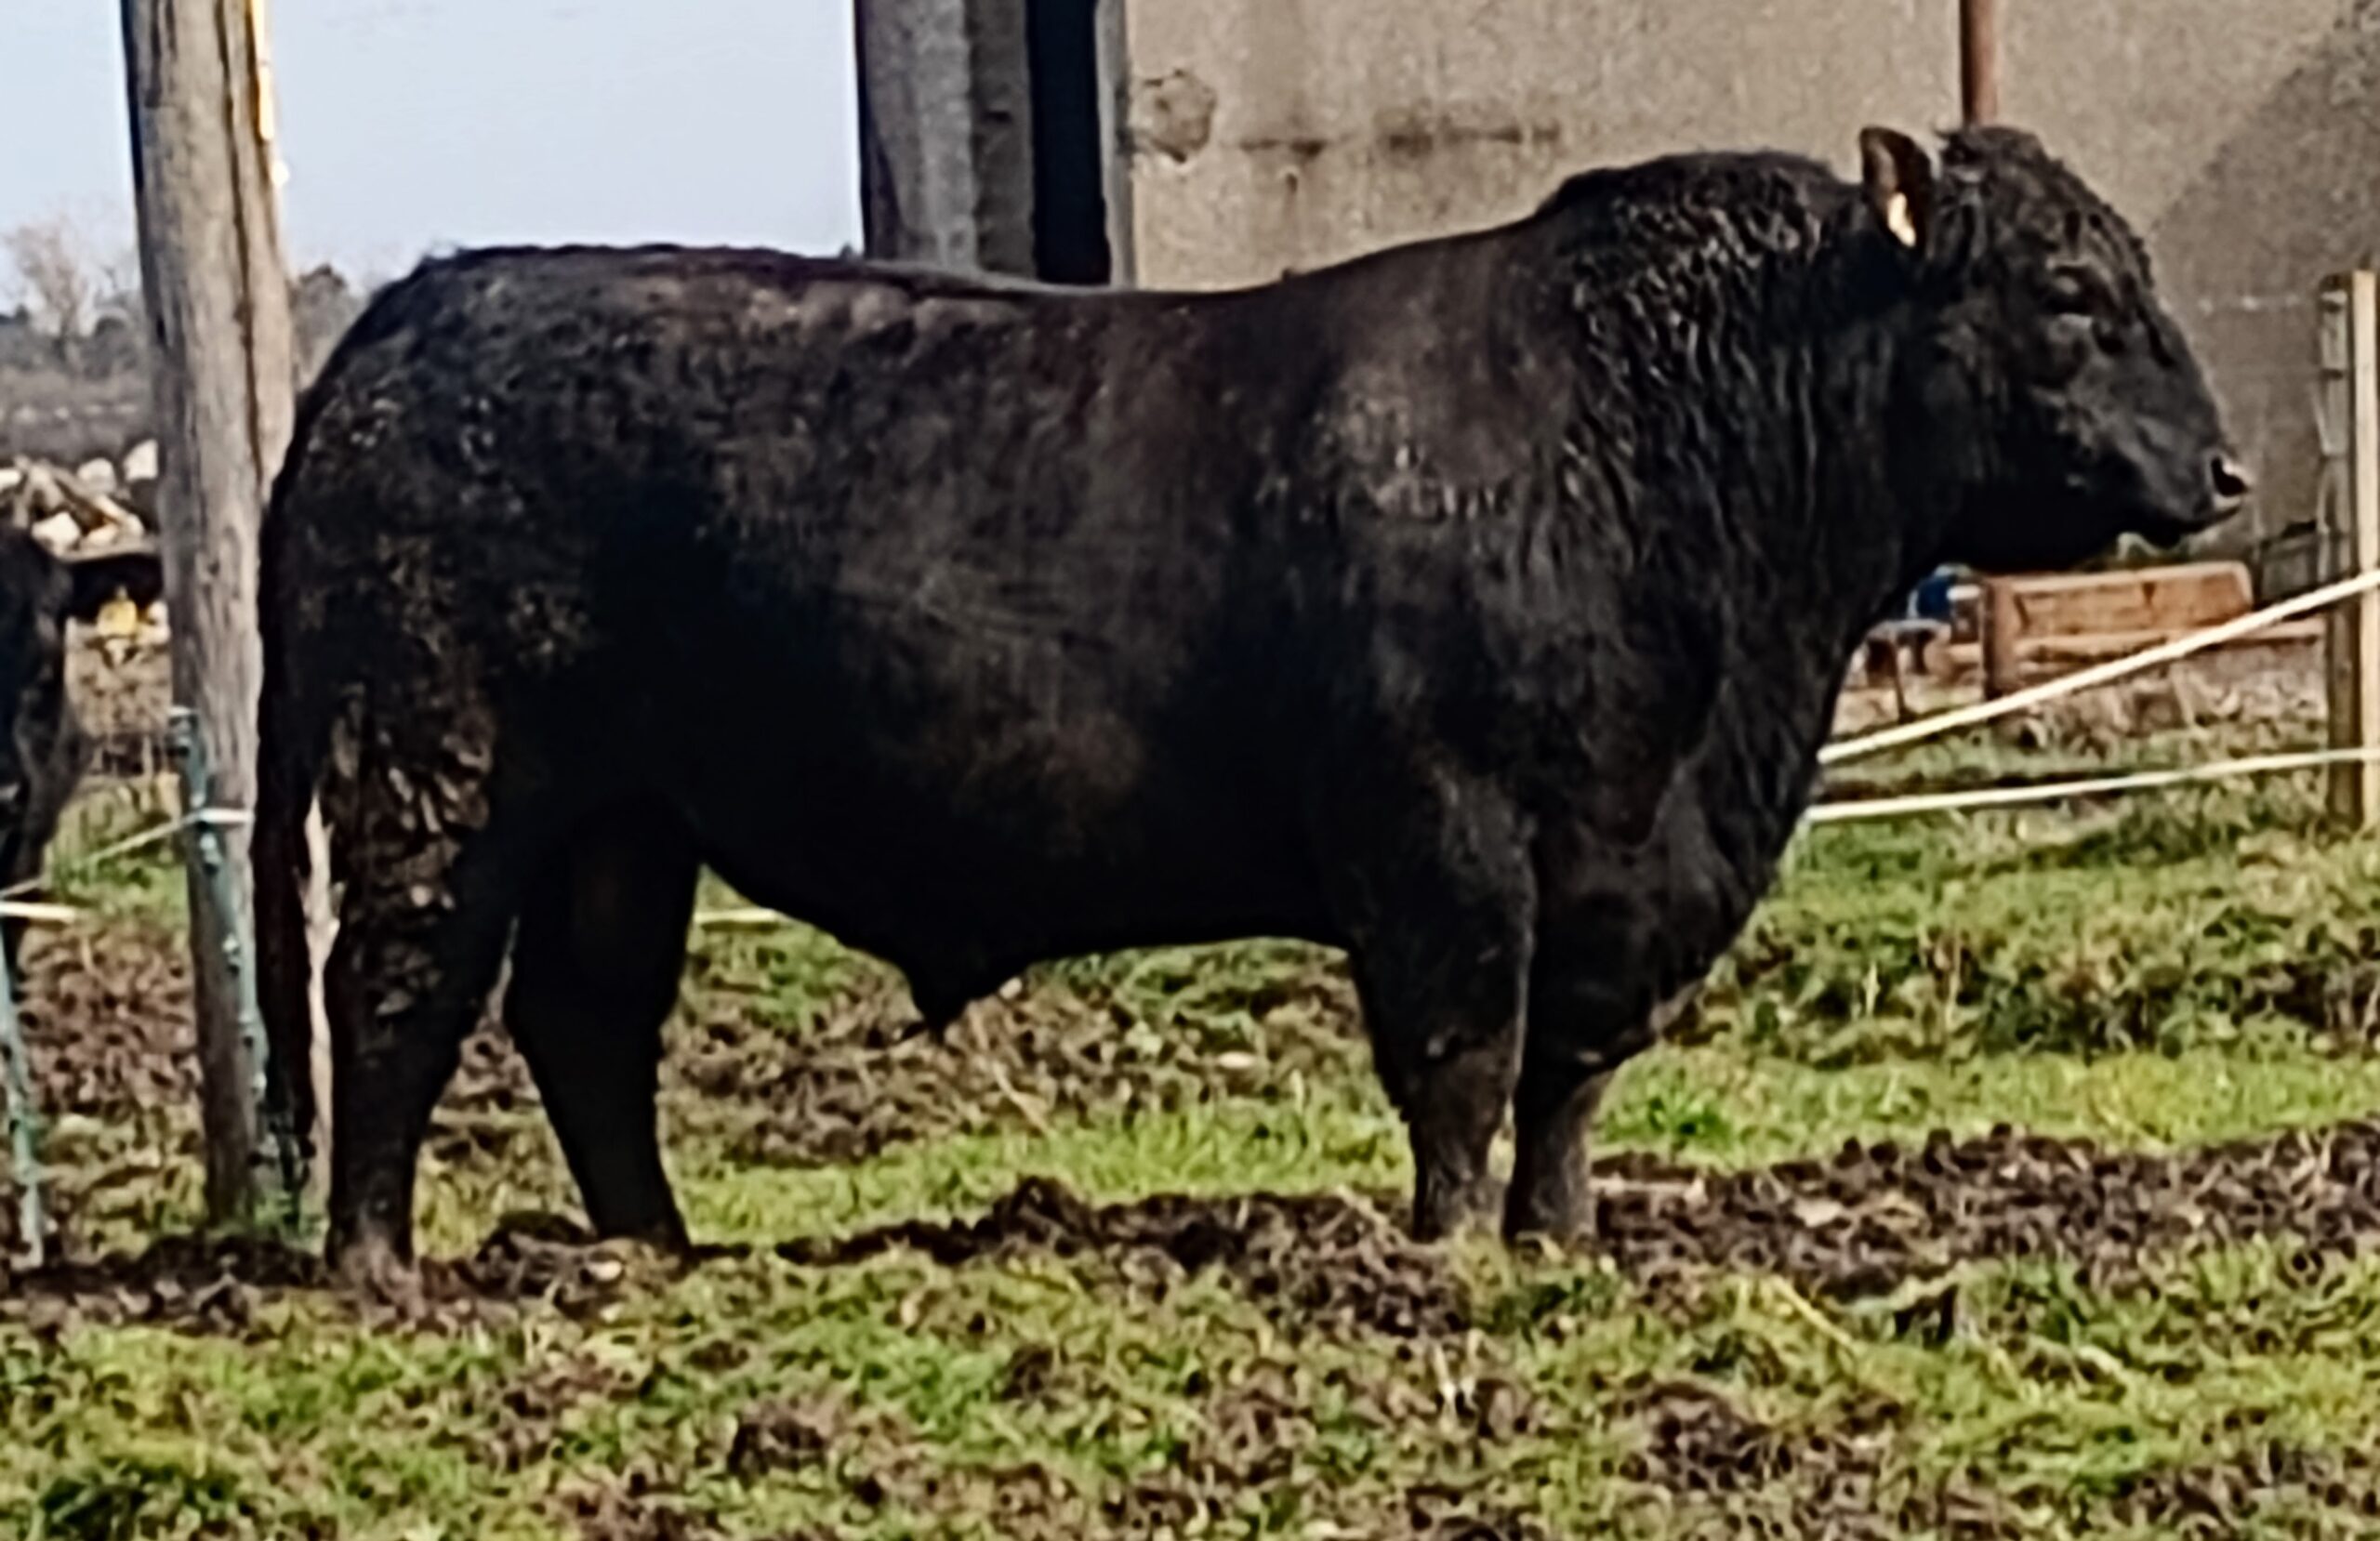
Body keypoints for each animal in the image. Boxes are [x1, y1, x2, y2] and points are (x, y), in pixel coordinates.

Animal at [256, 129, 2246, 1284]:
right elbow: (1461, 1048)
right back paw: (378, 1270)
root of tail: (419, 309)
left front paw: (1563, 1248)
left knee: (586, 1023)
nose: (2220, 469)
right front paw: (1443, 1260)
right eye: (2073, 292)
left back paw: (658, 1254)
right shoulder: (1441, 836)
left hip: (625, 821)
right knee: (397, 989)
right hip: (441, 773)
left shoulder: (1627, 873)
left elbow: (1570, 1070)